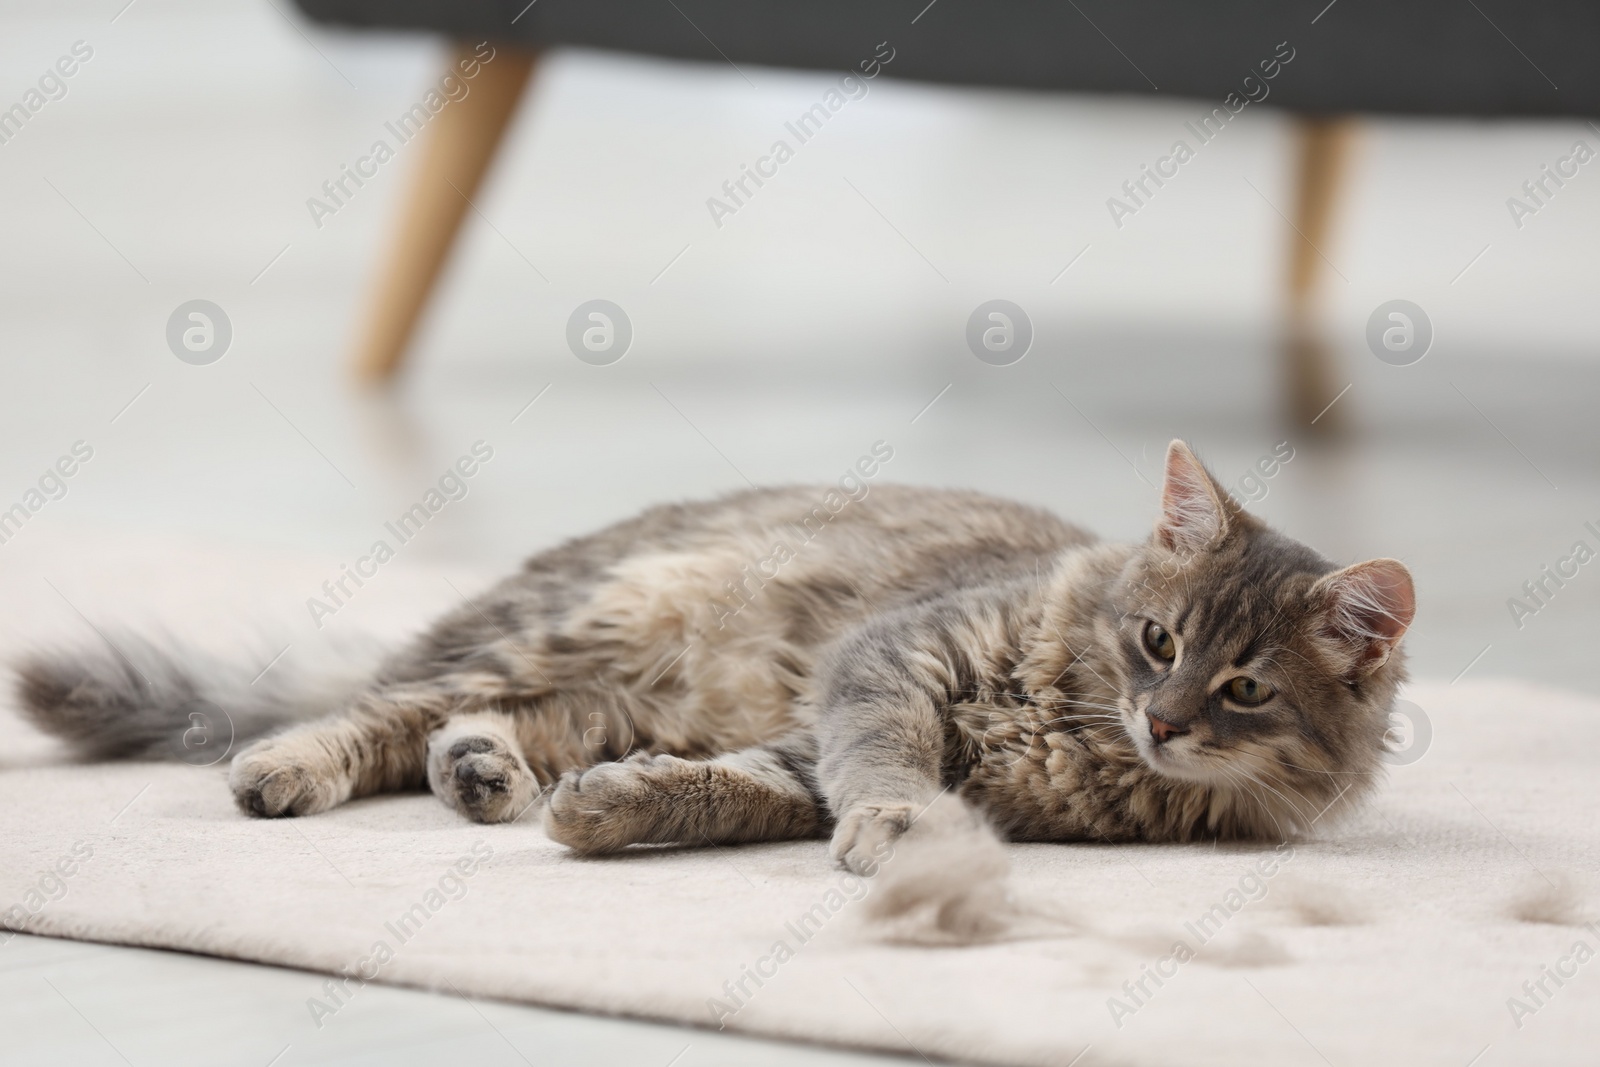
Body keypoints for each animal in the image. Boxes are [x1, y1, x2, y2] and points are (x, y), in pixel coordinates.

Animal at [12, 438, 1414, 870]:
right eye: (1155, 639)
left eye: (1242, 688)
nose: (1163, 718)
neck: (1074, 730)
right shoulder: (884, 668)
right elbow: (881, 763)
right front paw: (903, 824)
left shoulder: (795, 740)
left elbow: (741, 791)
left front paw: (611, 813)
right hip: (595, 623)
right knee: (387, 704)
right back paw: (287, 765)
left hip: (606, 691)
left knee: (459, 724)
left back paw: (486, 776)